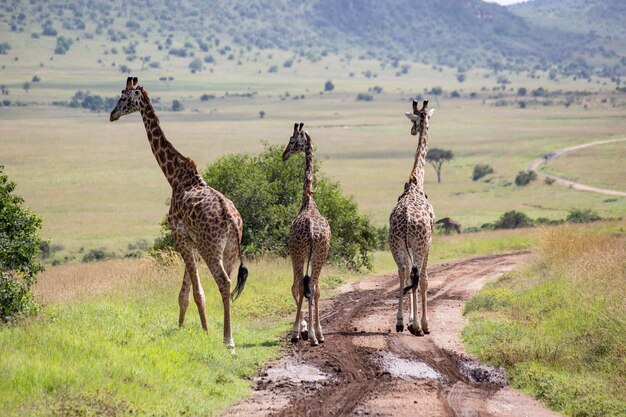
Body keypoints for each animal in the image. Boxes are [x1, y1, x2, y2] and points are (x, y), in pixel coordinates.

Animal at [108, 76, 247, 350]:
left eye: (124, 97)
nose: (112, 114)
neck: (175, 177)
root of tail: (232, 220)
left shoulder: (179, 236)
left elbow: (197, 292)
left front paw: (204, 332)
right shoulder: (191, 243)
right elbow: (185, 292)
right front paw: (183, 327)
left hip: (211, 248)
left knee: (223, 282)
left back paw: (228, 341)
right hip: (229, 251)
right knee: (227, 286)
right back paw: (227, 336)